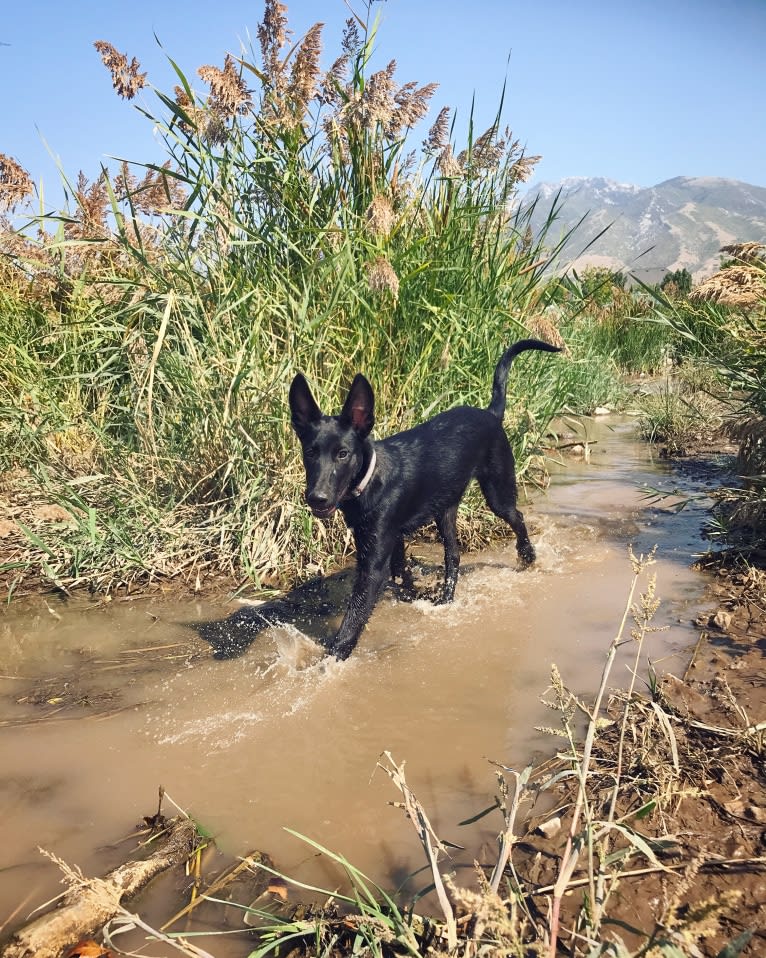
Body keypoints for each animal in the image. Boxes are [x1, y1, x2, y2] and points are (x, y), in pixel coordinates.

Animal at [292, 342, 560, 664]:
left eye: (342, 454)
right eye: (310, 452)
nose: (316, 497)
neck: (370, 480)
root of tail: (491, 413)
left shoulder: (373, 565)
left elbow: (354, 618)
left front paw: (329, 662)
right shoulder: (389, 538)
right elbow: (401, 573)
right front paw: (415, 596)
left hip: (498, 491)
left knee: (517, 516)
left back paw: (527, 556)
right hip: (445, 509)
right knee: (453, 555)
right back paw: (445, 599)